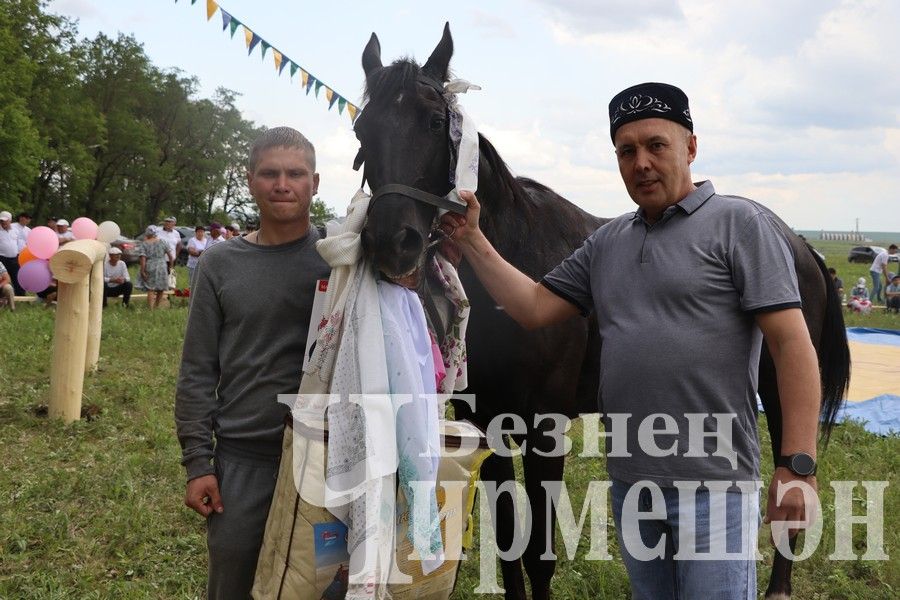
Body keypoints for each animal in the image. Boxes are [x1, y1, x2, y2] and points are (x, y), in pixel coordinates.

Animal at [354, 24, 852, 600]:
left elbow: (539, 553)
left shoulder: (545, 431)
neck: (519, 255)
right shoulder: (489, 427)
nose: (392, 244)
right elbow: (507, 545)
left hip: (779, 390)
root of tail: (799, 244)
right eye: (363, 128)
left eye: (435, 122)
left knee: (789, 495)